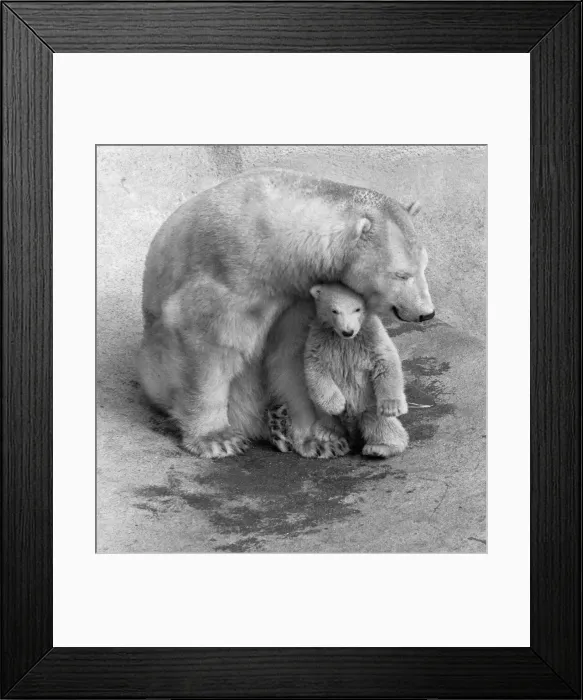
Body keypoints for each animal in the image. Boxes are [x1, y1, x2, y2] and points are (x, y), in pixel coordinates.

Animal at [266, 283, 409, 458]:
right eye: (334, 310)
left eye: (357, 309)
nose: (348, 331)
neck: (345, 340)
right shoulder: (319, 339)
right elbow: (316, 368)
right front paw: (338, 405)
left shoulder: (371, 336)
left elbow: (384, 361)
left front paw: (392, 407)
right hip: (320, 410)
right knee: (324, 415)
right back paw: (327, 433)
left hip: (369, 404)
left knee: (379, 423)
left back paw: (379, 448)